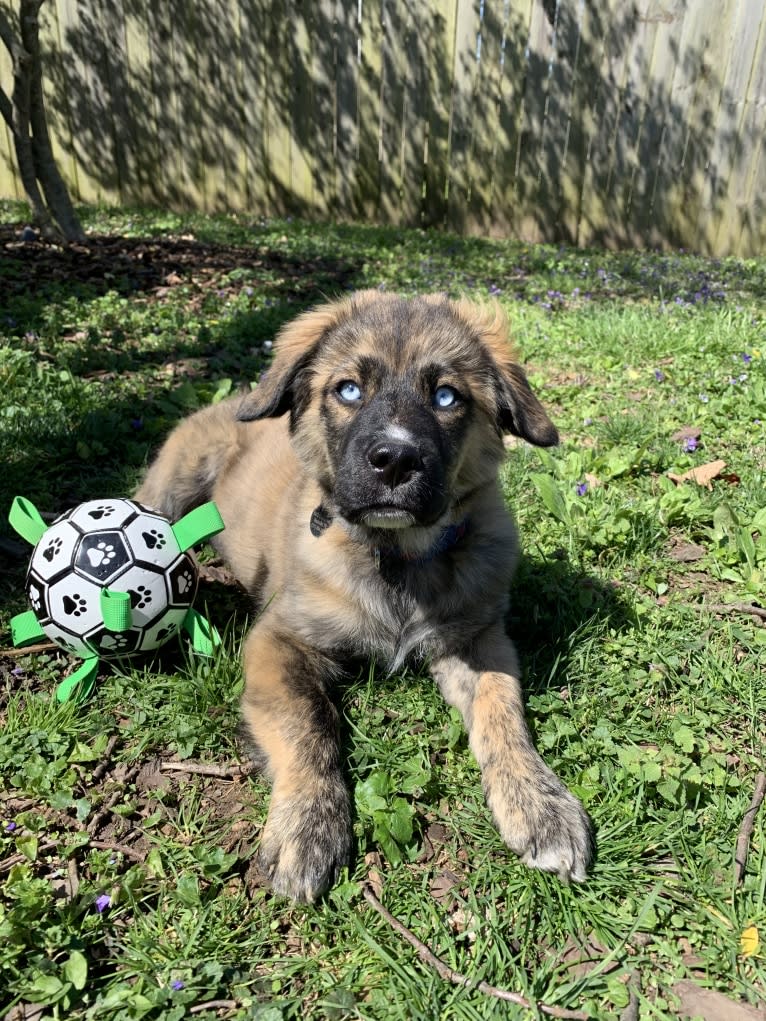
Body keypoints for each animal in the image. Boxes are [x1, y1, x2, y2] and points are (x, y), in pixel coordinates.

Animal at [137, 289, 592, 902]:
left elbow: (503, 713)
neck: (395, 561)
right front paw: (308, 824)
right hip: (174, 482)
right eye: (349, 390)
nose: (395, 460)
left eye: (447, 396)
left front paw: (540, 805)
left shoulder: (477, 639)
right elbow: (309, 724)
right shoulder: (280, 639)